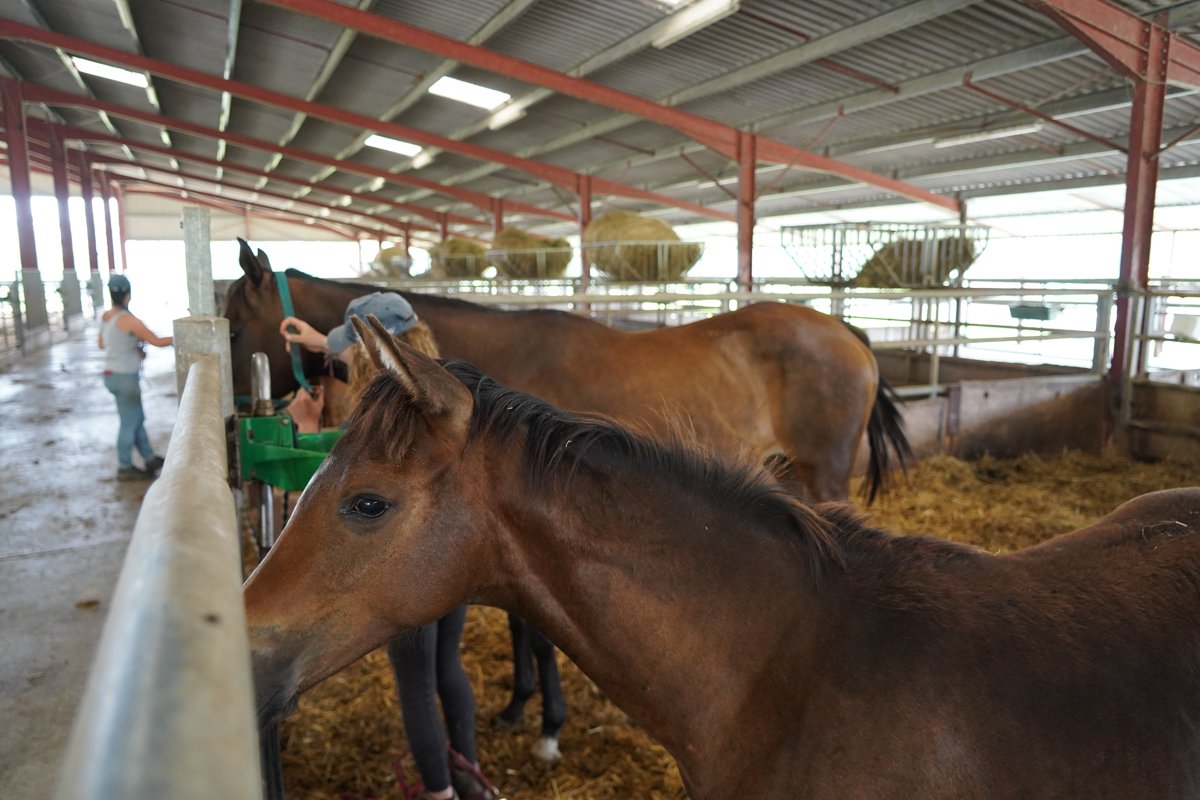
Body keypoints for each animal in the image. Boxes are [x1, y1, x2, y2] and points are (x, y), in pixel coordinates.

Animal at [226, 238, 911, 762]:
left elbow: (535, 629)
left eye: (232, 326)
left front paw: (546, 722)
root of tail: (844, 330)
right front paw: (520, 705)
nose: (233, 424)